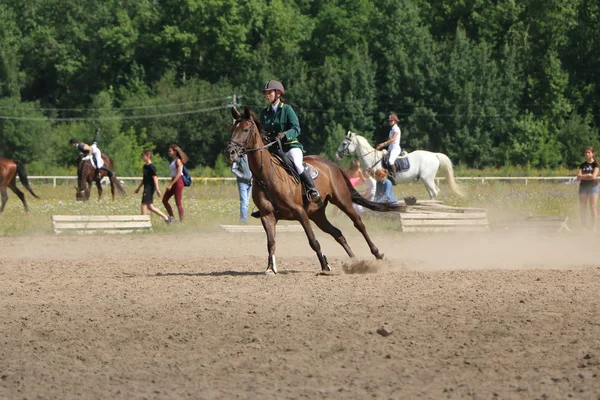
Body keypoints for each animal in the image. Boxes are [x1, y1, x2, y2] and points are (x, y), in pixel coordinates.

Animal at [225, 106, 404, 276]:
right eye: (232, 129)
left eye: (246, 129)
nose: (230, 152)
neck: (266, 175)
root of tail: (332, 165)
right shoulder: (267, 216)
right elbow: (271, 243)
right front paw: (270, 268)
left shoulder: (300, 213)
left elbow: (313, 241)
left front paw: (325, 266)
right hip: (317, 214)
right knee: (337, 233)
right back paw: (356, 262)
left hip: (341, 201)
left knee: (358, 224)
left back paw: (378, 254)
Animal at [332, 131, 464, 198]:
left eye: (344, 144)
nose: (336, 155)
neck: (371, 158)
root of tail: (434, 155)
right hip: (425, 180)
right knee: (432, 193)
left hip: (428, 179)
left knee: (435, 192)